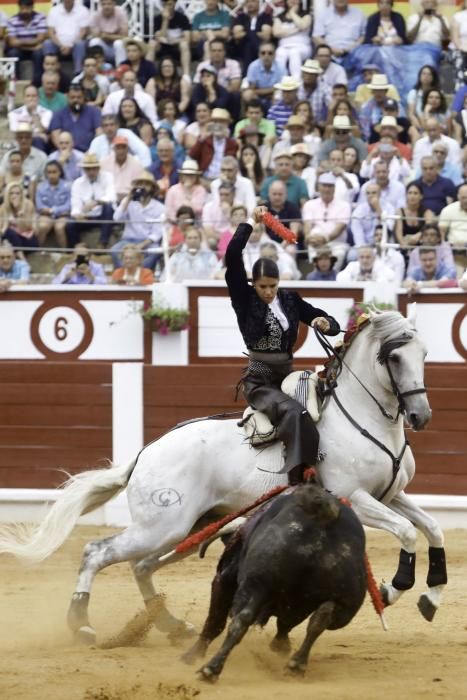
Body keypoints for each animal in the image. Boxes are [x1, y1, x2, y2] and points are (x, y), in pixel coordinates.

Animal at [0, 312, 448, 644]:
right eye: (394, 358)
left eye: (425, 353)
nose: (421, 415)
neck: (362, 417)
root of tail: (146, 453)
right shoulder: (353, 497)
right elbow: (407, 531)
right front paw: (392, 589)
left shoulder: (391, 495)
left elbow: (433, 528)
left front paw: (431, 595)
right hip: (163, 525)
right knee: (99, 552)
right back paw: (82, 625)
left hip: (193, 526)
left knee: (141, 566)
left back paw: (171, 625)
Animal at [183, 482, 370, 680]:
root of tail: (323, 516)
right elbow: (286, 624)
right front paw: (281, 646)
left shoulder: (224, 578)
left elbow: (215, 621)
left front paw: (192, 656)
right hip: (346, 605)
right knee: (321, 618)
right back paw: (297, 664)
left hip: (256, 584)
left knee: (241, 620)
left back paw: (211, 669)